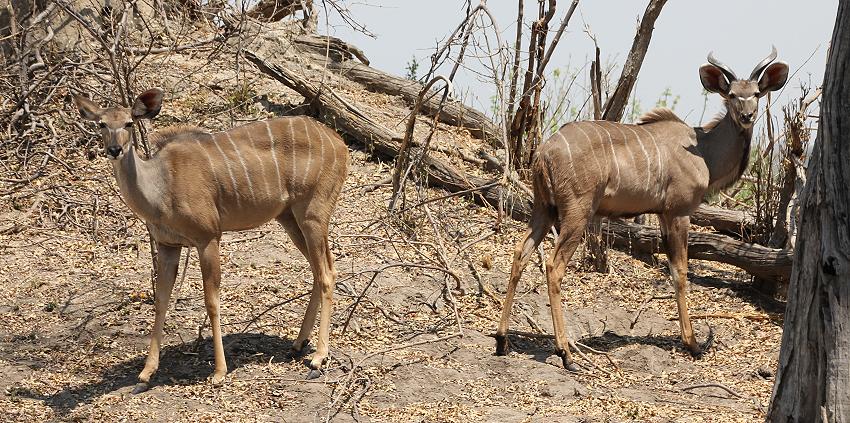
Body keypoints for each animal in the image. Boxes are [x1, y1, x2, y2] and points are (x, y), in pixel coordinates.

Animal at [73, 88, 348, 390]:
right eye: (101, 124)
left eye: (129, 123)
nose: (114, 150)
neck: (162, 187)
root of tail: (339, 143)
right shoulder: (168, 245)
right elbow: (161, 300)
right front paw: (146, 373)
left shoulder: (208, 238)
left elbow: (211, 301)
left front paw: (219, 371)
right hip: (289, 218)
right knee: (320, 269)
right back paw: (298, 344)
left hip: (313, 214)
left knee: (326, 274)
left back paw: (318, 358)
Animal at [494, 48, 784, 370]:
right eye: (732, 95)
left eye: (756, 93)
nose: (747, 116)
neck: (703, 150)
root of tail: (544, 152)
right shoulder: (679, 212)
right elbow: (681, 271)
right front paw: (693, 344)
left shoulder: (662, 215)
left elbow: (672, 268)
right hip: (576, 213)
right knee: (553, 267)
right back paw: (565, 354)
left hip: (544, 210)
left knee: (520, 253)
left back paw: (502, 340)